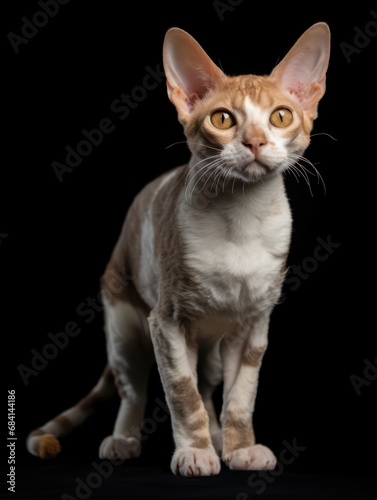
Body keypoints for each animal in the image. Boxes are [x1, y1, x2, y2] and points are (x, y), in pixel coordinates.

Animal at [27, 22, 328, 476]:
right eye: (223, 119)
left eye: (280, 116)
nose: (256, 142)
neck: (241, 218)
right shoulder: (167, 321)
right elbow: (182, 395)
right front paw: (195, 452)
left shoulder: (254, 326)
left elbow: (241, 397)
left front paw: (240, 449)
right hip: (124, 326)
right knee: (135, 389)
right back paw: (124, 439)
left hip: (212, 347)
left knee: (208, 383)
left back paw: (219, 438)